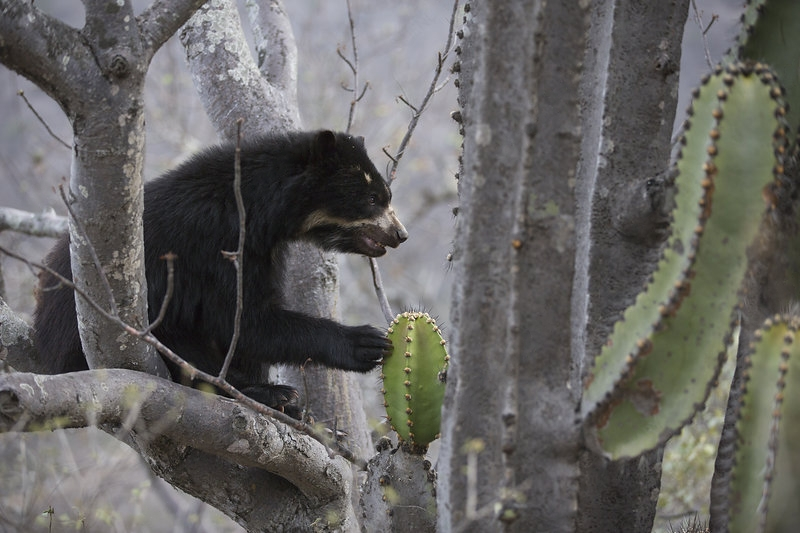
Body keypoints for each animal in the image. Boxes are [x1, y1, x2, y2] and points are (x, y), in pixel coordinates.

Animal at [32, 129, 406, 412]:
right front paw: (365, 342)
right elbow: (240, 319)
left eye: (387, 194)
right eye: (372, 199)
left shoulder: (264, 250)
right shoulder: (216, 244)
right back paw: (274, 394)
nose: (401, 234)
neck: (260, 209)